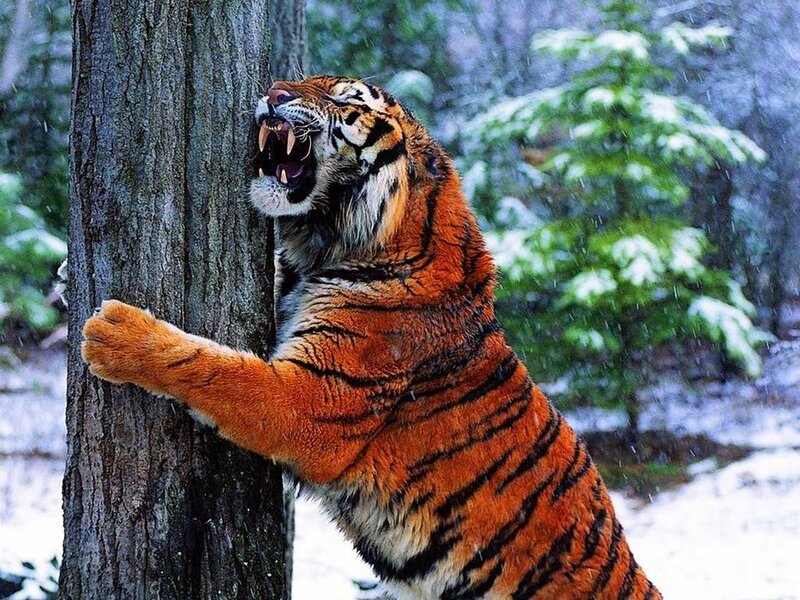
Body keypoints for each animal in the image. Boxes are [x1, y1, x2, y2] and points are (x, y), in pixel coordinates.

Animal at [82, 75, 661, 600]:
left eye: (344, 98)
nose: (273, 93)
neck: (331, 247)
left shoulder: (315, 399)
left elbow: (216, 370)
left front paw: (114, 332)